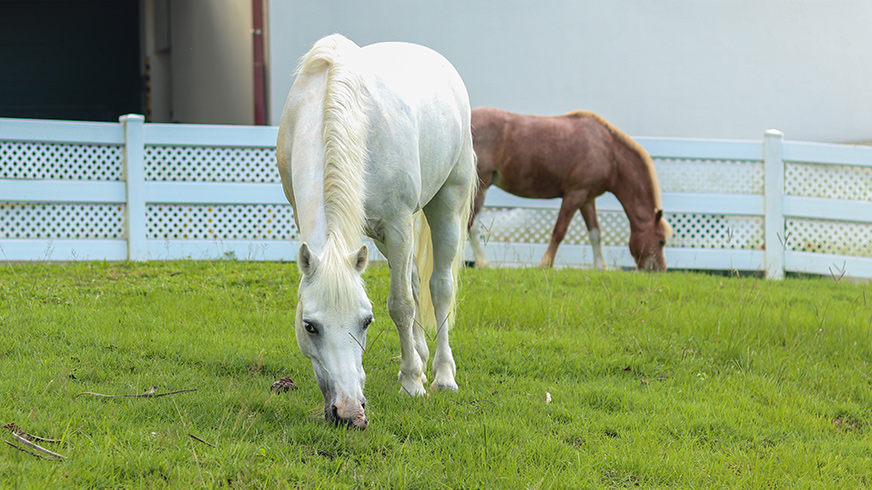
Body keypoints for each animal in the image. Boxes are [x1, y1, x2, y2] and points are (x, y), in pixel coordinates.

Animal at [276, 34, 477, 429]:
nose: (348, 412)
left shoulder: (397, 223)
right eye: (310, 326)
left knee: (439, 287)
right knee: (414, 280)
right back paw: (420, 355)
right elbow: (407, 296)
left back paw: (443, 375)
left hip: (447, 202)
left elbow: (401, 305)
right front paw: (408, 369)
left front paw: (412, 383)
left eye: (366, 321)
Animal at [468, 107, 672, 271]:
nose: (659, 270)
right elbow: (559, 231)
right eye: (661, 241)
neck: (610, 153)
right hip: (479, 190)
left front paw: (600, 267)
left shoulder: (587, 199)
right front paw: (545, 264)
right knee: (471, 225)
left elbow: (595, 234)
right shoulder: (574, 195)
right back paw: (484, 263)